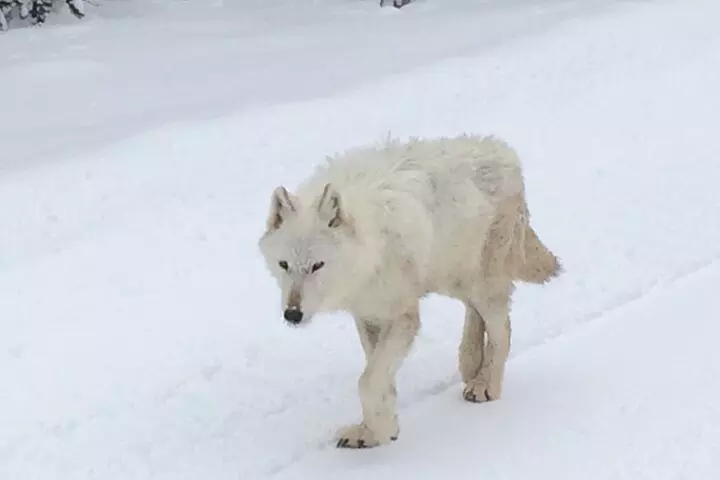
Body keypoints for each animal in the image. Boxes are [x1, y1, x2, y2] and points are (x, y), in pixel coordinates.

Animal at [258, 134, 561, 449]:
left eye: (317, 266)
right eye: (284, 265)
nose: (292, 314)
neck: (370, 247)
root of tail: (507, 152)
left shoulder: (403, 317)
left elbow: (368, 381)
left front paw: (378, 431)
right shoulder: (367, 315)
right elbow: (380, 378)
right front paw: (377, 431)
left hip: (482, 285)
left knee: (503, 329)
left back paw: (485, 384)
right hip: (455, 280)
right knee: (475, 314)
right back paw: (469, 364)